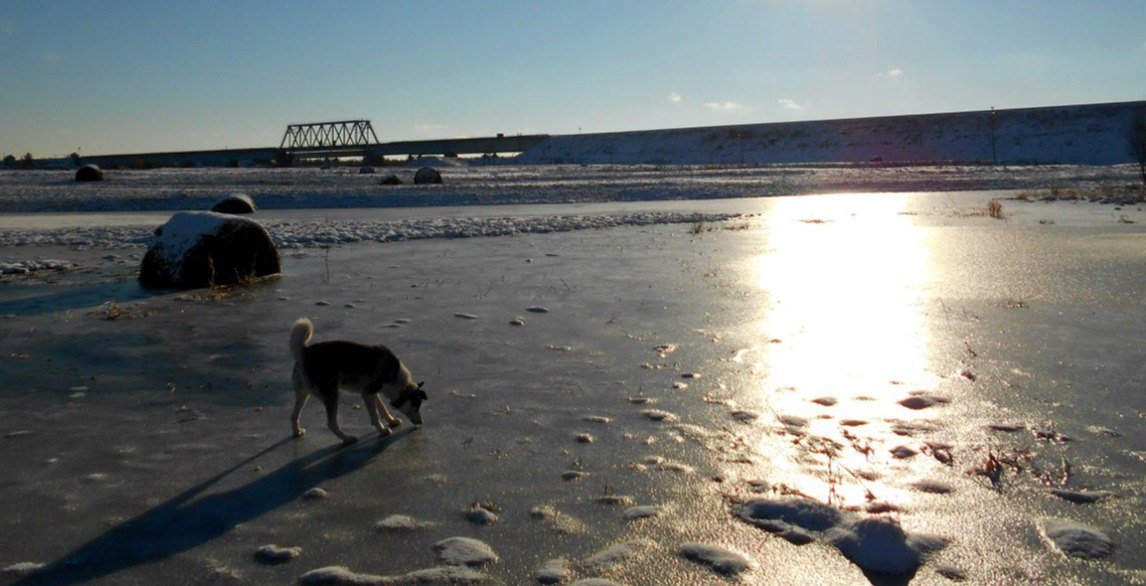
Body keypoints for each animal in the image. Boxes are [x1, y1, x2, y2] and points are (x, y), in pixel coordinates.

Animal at [291, 316, 426, 444]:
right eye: (416, 406)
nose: (421, 422)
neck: (396, 378)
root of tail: (305, 352)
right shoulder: (368, 393)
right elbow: (375, 415)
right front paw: (383, 430)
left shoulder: (372, 392)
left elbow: (382, 408)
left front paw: (392, 421)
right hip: (332, 395)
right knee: (331, 424)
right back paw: (348, 439)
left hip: (303, 394)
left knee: (294, 415)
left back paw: (297, 431)